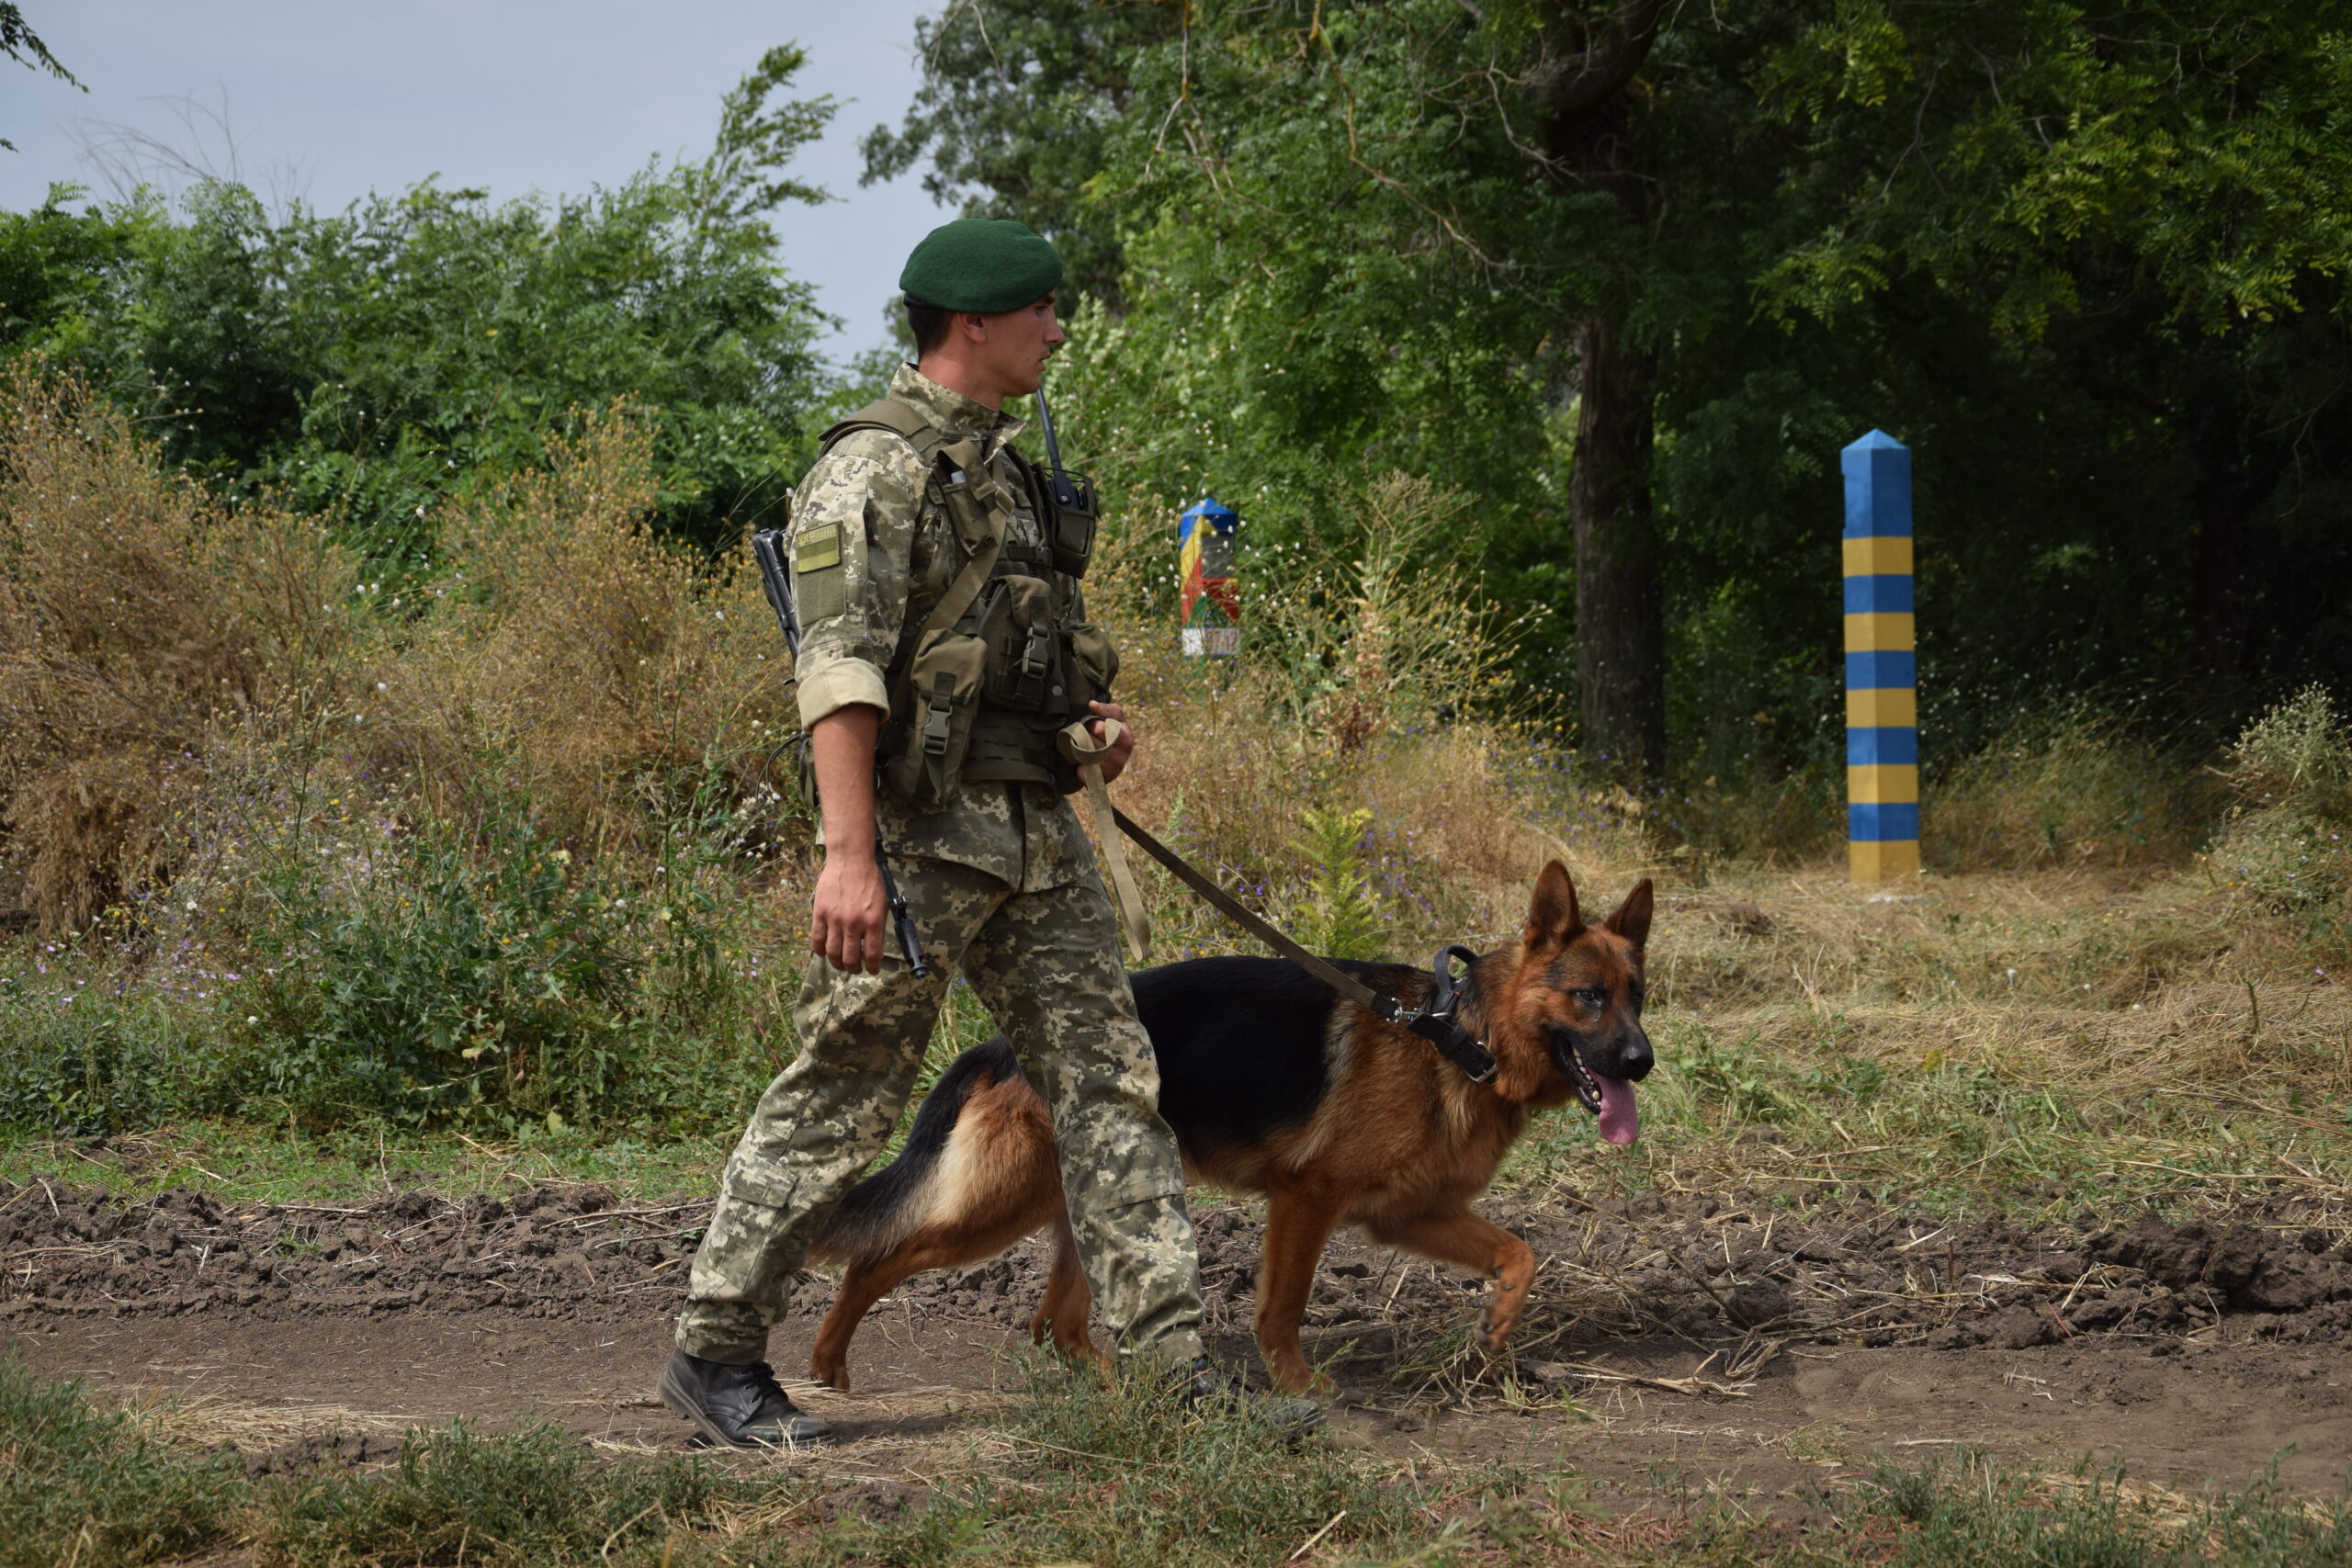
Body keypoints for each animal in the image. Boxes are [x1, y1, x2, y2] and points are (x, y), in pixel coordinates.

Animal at [808, 864, 1656, 1392]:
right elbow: (1282, 1306)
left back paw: (1134, 1388)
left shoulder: (1411, 1213)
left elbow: (1521, 1253)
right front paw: (1300, 1386)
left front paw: (1497, 1326)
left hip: (1094, 1206)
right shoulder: (1307, 1197)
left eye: (1638, 996)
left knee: (1055, 1326)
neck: (1463, 1036)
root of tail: (998, 1046)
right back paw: (828, 1362)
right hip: (1000, 1210)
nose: (1643, 1061)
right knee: (878, 1259)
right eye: (1588, 997)